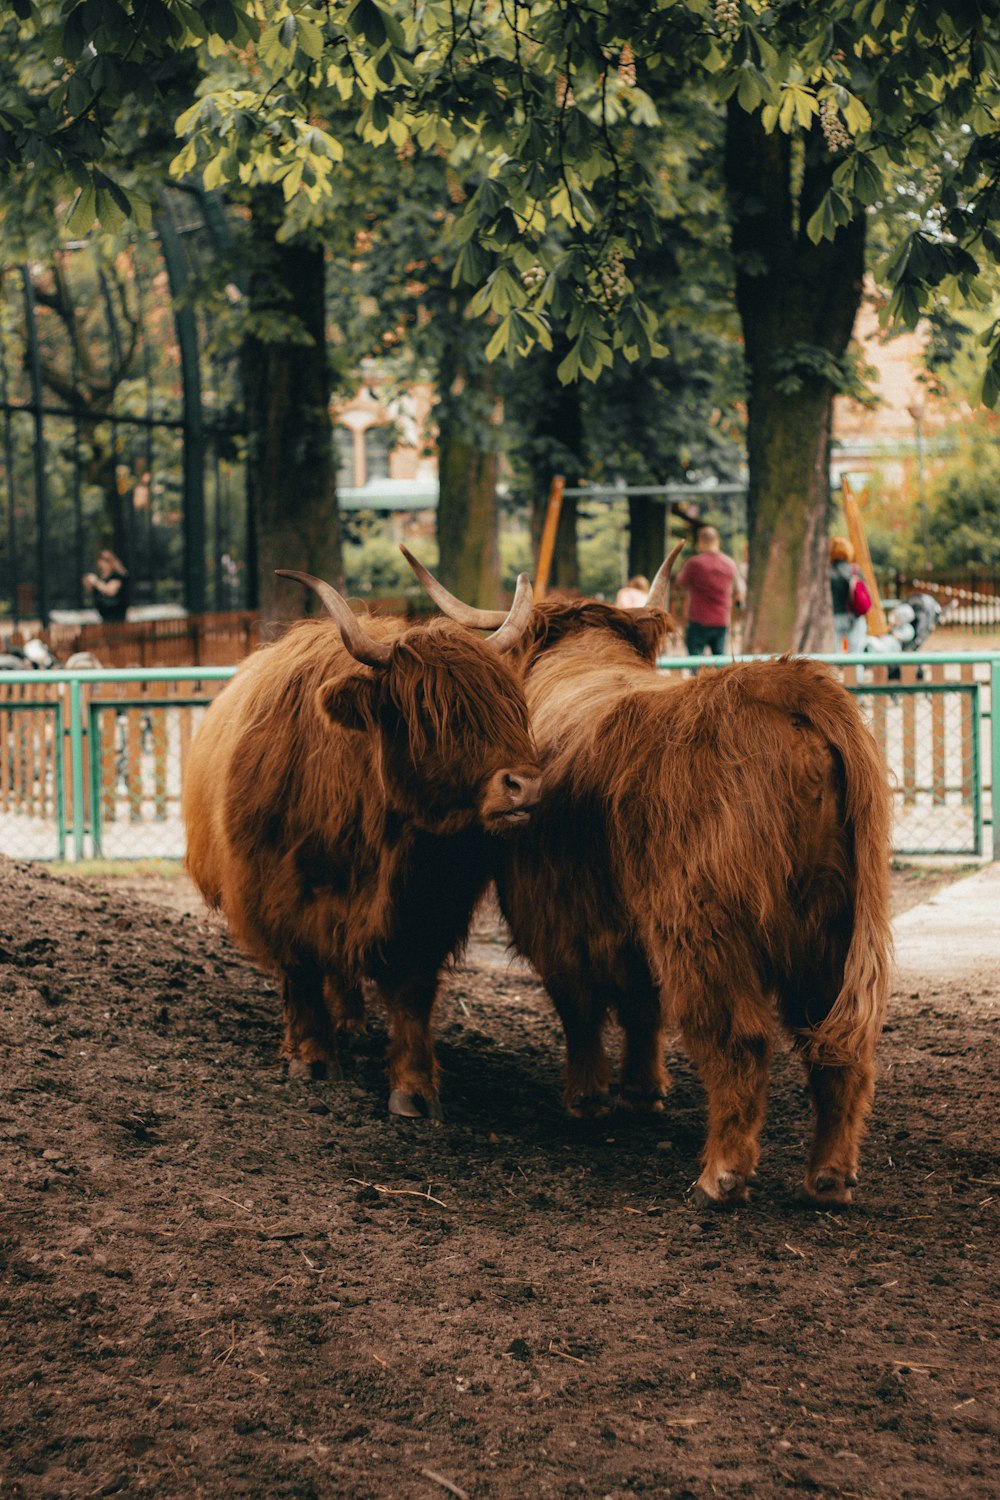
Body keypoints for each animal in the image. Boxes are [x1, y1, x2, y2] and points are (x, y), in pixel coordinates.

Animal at [179, 570, 539, 1116]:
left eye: (511, 705)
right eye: (430, 710)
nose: (524, 784)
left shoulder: (429, 907)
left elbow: (411, 992)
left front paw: (414, 1090)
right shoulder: (278, 891)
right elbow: (302, 970)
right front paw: (310, 1057)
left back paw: (350, 1022)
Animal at [401, 552, 893, 1206]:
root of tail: (782, 686)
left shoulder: (552, 913)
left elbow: (580, 1004)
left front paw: (588, 1098)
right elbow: (641, 1005)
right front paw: (641, 1092)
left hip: (703, 923)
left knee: (740, 1039)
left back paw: (721, 1174)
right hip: (834, 925)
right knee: (838, 1047)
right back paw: (829, 1177)